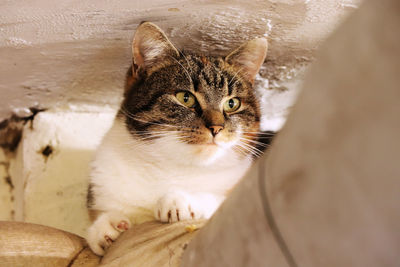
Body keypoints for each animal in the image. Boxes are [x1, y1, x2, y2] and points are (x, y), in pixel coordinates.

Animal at [86, 22, 270, 256]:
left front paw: (179, 200)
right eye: (185, 97)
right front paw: (106, 225)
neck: (172, 168)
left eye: (232, 103)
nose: (217, 127)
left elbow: (221, 200)